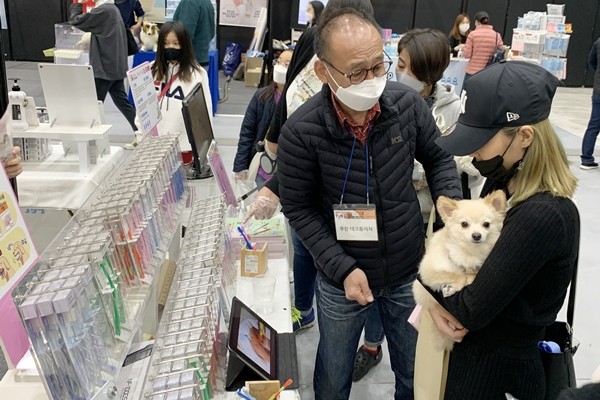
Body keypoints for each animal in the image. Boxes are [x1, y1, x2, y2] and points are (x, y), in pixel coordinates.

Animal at [412, 190, 506, 350]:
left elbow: (471, 274)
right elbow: (456, 275)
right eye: (464, 224)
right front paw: (452, 286)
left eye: (486, 224)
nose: (476, 235)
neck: (470, 251)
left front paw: (468, 278)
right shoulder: (427, 271)